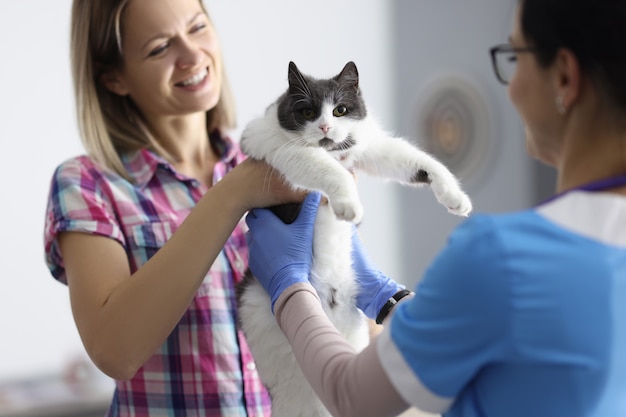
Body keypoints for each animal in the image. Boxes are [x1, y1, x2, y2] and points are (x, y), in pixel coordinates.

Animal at [236, 61, 470, 416]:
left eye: (340, 110)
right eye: (307, 111)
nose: (324, 127)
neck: (333, 150)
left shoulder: (367, 146)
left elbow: (410, 158)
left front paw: (454, 196)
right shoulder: (274, 144)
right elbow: (326, 168)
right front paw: (349, 204)